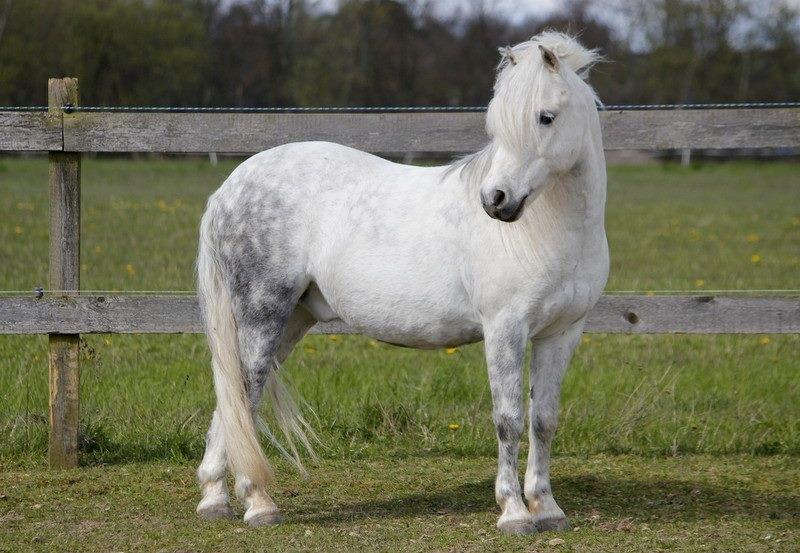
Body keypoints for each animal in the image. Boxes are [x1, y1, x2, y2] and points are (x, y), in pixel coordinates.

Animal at [194, 32, 608, 532]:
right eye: (496, 125)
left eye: (546, 117)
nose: (495, 200)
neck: (550, 231)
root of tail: (228, 189)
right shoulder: (505, 329)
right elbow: (508, 419)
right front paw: (513, 512)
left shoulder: (562, 333)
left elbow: (543, 420)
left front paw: (546, 508)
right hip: (261, 314)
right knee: (243, 391)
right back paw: (257, 503)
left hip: (291, 319)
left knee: (235, 400)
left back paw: (216, 499)